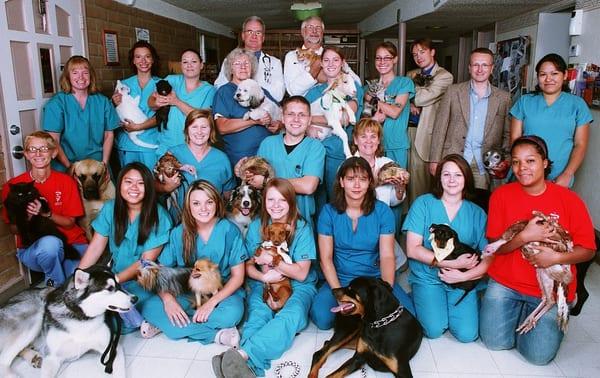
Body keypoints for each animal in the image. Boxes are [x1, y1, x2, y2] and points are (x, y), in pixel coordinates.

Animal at [0, 266, 134, 378]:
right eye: (110, 288)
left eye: (119, 284)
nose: (135, 298)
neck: (80, 318)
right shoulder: (52, 357)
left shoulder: (112, 348)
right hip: (35, 311)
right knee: (3, 360)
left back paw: (33, 356)